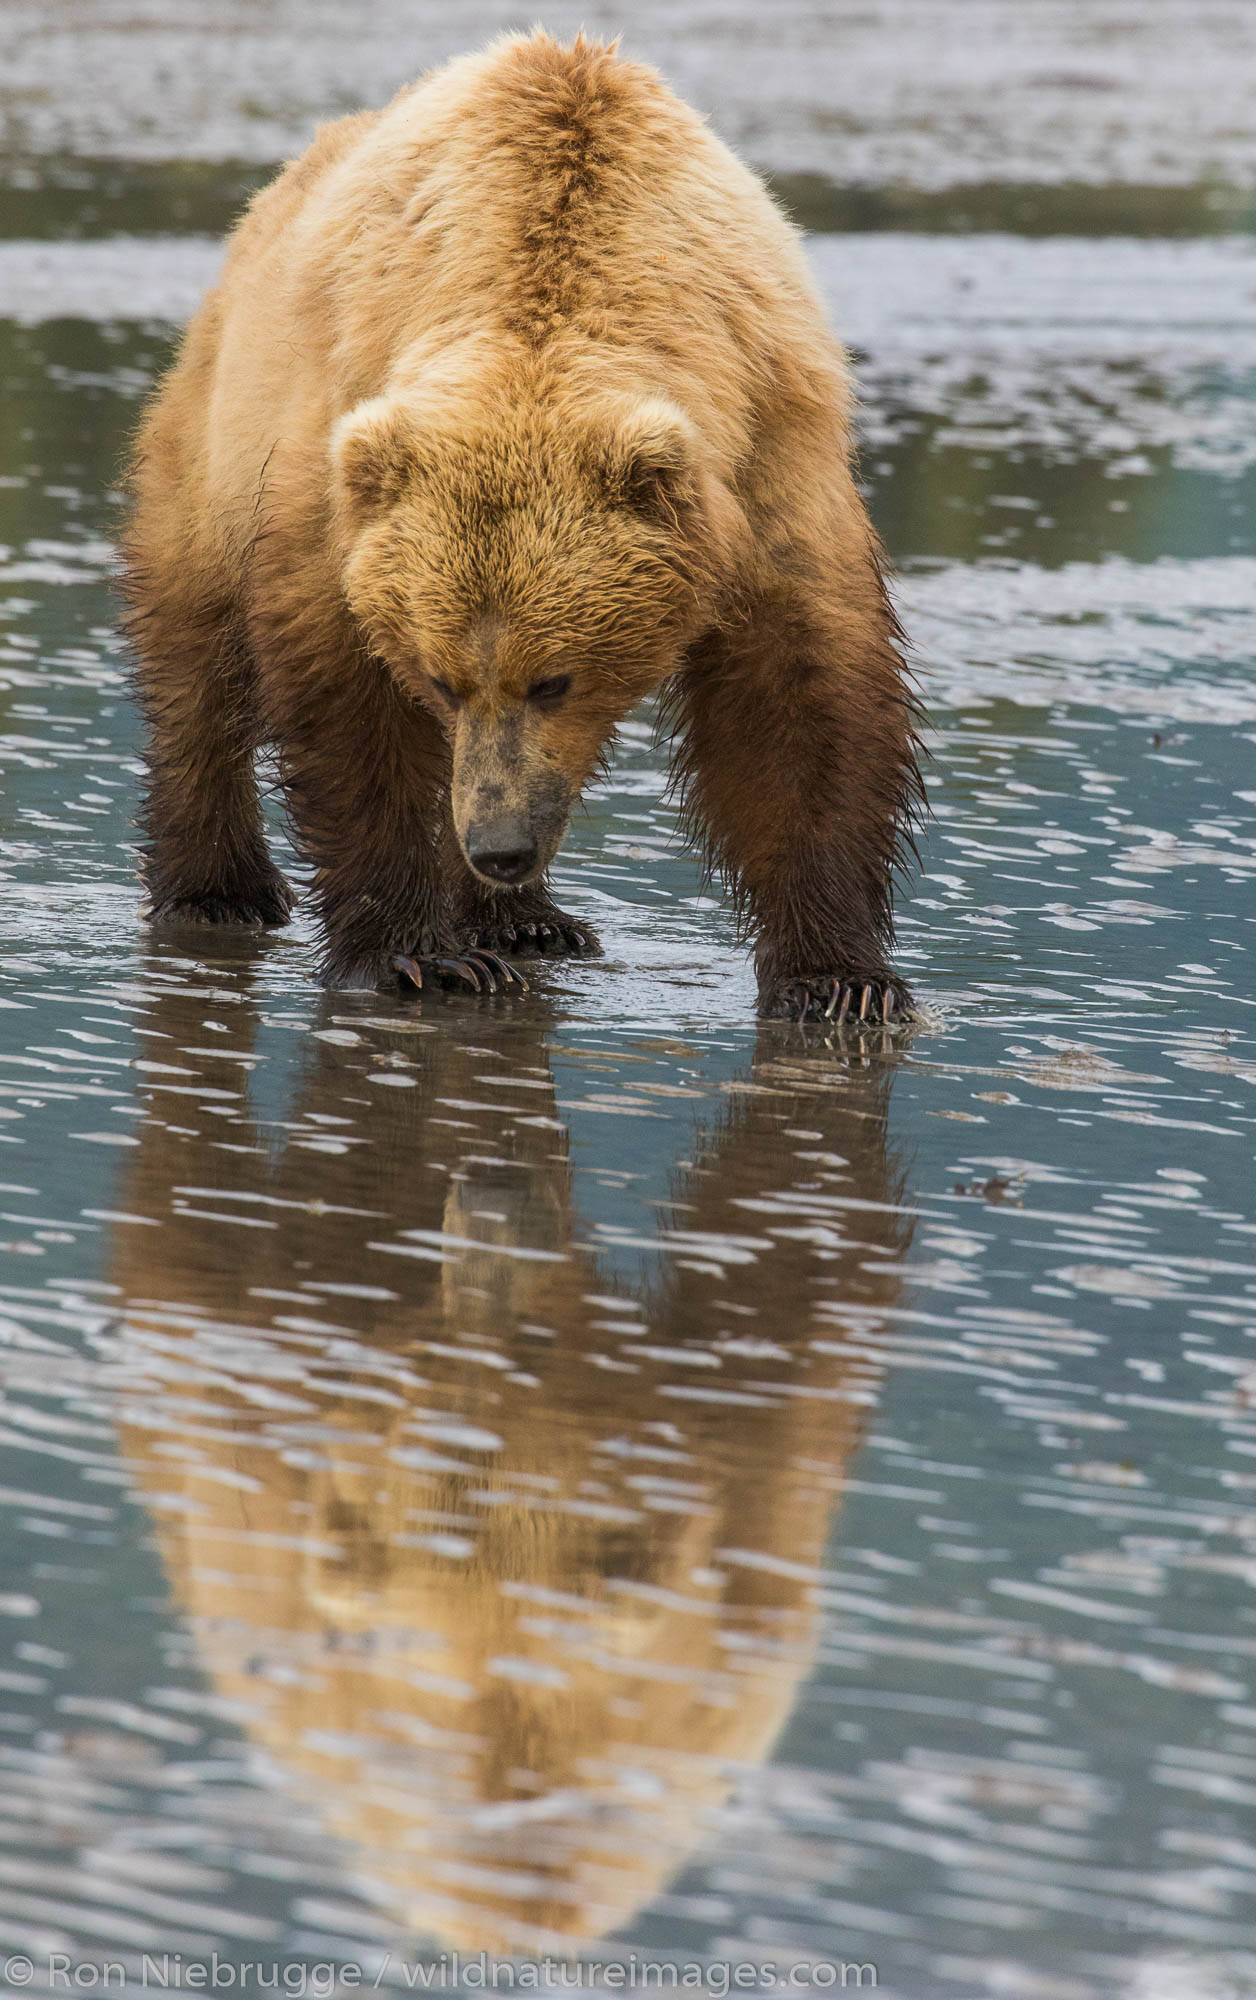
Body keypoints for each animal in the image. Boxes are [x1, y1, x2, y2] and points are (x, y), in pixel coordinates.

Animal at [125, 29, 924, 1024]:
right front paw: (419, 955)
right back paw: (220, 889)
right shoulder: (339, 476)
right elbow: (344, 692)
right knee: (201, 664)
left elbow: (800, 698)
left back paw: (527, 921)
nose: (498, 847)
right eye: (440, 677)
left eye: (554, 680)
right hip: (215, 437)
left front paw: (842, 980)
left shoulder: (768, 446)